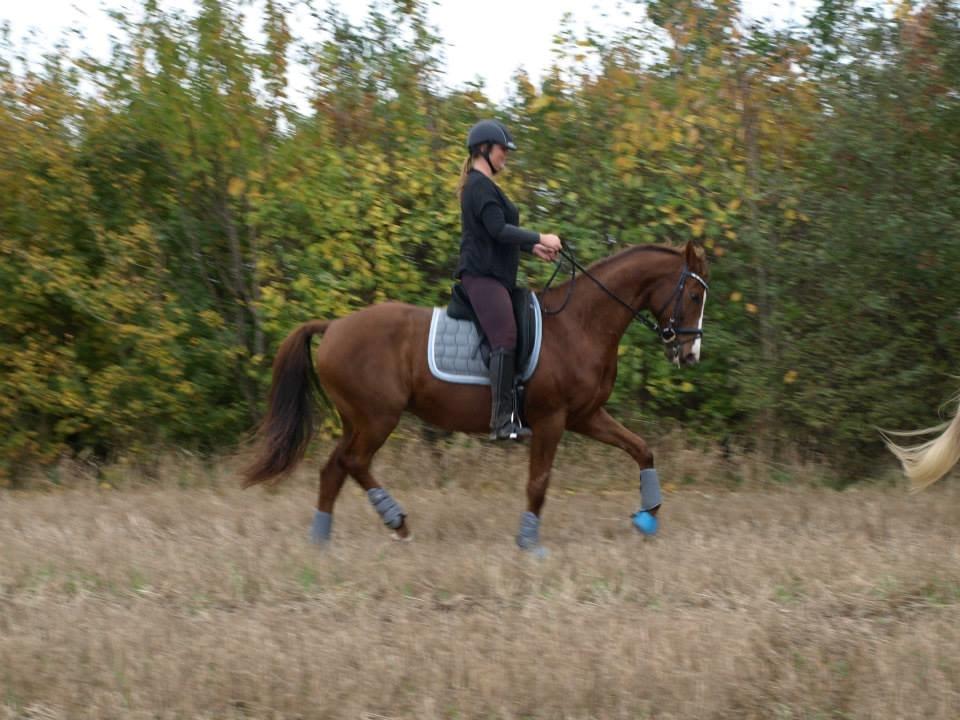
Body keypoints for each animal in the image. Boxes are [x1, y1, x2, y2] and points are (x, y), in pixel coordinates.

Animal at [244, 239, 708, 548]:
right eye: (694, 294)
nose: (690, 355)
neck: (579, 324)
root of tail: (334, 325)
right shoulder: (552, 420)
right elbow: (538, 482)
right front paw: (529, 543)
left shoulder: (586, 416)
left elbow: (641, 449)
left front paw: (648, 516)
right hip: (377, 418)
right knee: (353, 463)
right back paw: (396, 522)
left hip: (355, 420)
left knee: (333, 470)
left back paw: (320, 539)